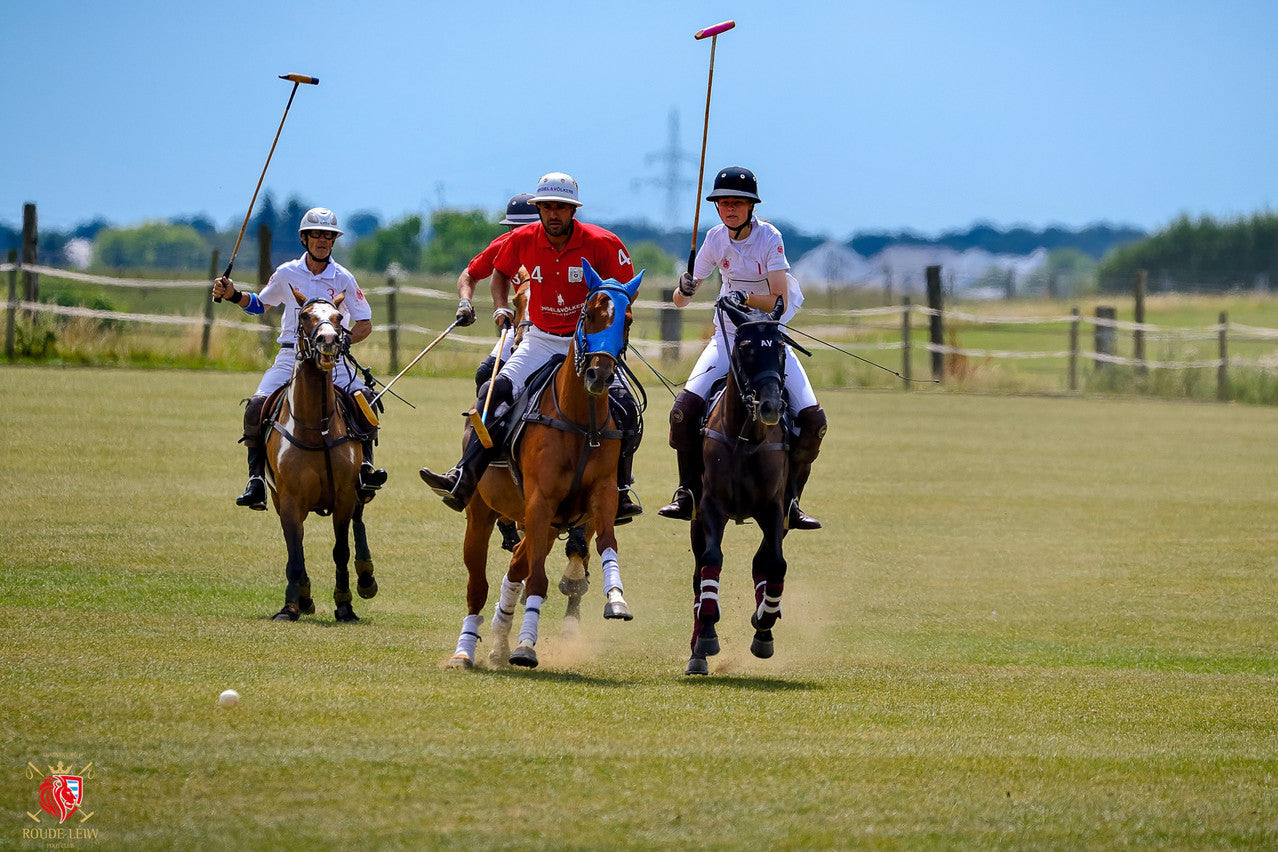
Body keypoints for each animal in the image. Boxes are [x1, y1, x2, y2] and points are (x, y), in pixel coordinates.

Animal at [263, 286, 373, 620]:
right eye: (305, 316)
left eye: (337, 317)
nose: (328, 340)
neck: (316, 427)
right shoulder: (288, 499)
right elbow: (294, 550)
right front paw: (293, 603)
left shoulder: (344, 495)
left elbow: (341, 549)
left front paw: (345, 603)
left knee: (359, 523)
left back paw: (366, 577)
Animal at [449, 256, 649, 669]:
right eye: (590, 313)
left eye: (628, 319)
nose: (600, 374)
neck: (580, 420)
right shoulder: (540, 502)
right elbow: (537, 579)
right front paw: (526, 646)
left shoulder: (601, 496)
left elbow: (605, 545)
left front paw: (616, 600)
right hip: (481, 512)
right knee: (479, 584)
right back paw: (466, 650)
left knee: (517, 566)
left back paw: (499, 639)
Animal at [690, 296, 797, 674]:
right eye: (747, 348)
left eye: (780, 348)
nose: (771, 406)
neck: (746, 436)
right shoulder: (711, 506)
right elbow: (711, 560)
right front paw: (708, 634)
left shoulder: (774, 509)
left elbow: (775, 564)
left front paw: (764, 623)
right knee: (698, 573)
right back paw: (697, 651)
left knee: (762, 561)